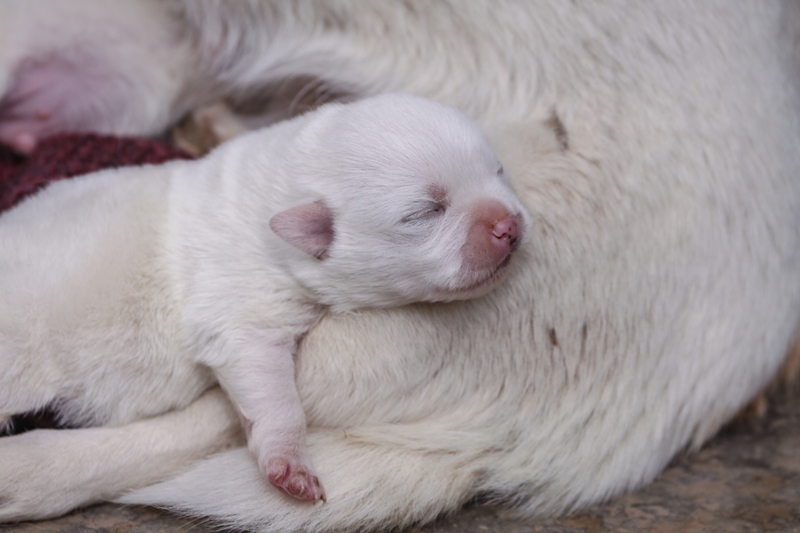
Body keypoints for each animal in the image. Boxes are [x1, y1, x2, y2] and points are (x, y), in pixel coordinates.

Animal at [0, 92, 532, 502]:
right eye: (424, 212)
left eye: (499, 169)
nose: (509, 226)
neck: (281, 184)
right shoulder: (241, 308)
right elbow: (271, 388)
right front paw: (289, 463)